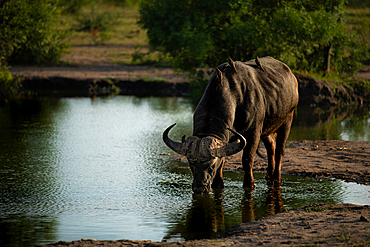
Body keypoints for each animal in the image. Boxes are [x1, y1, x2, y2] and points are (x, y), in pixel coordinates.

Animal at [163, 57, 300, 194]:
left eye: (211, 165)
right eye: (191, 164)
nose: (199, 188)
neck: (236, 97)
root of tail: (292, 77)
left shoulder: (254, 132)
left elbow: (247, 159)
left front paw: (249, 183)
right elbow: (223, 159)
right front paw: (218, 183)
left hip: (288, 119)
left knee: (280, 150)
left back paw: (276, 177)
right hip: (267, 128)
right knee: (271, 146)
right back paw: (269, 175)